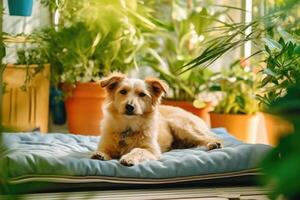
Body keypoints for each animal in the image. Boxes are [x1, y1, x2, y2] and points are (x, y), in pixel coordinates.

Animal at [91, 72, 223, 166]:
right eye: (123, 91)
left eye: (142, 94)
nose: (130, 106)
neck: (128, 127)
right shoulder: (106, 144)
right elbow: (103, 149)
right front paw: (99, 154)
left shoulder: (152, 150)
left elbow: (138, 149)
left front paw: (129, 157)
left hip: (181, 125)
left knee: (210, 137)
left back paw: (214, 144)